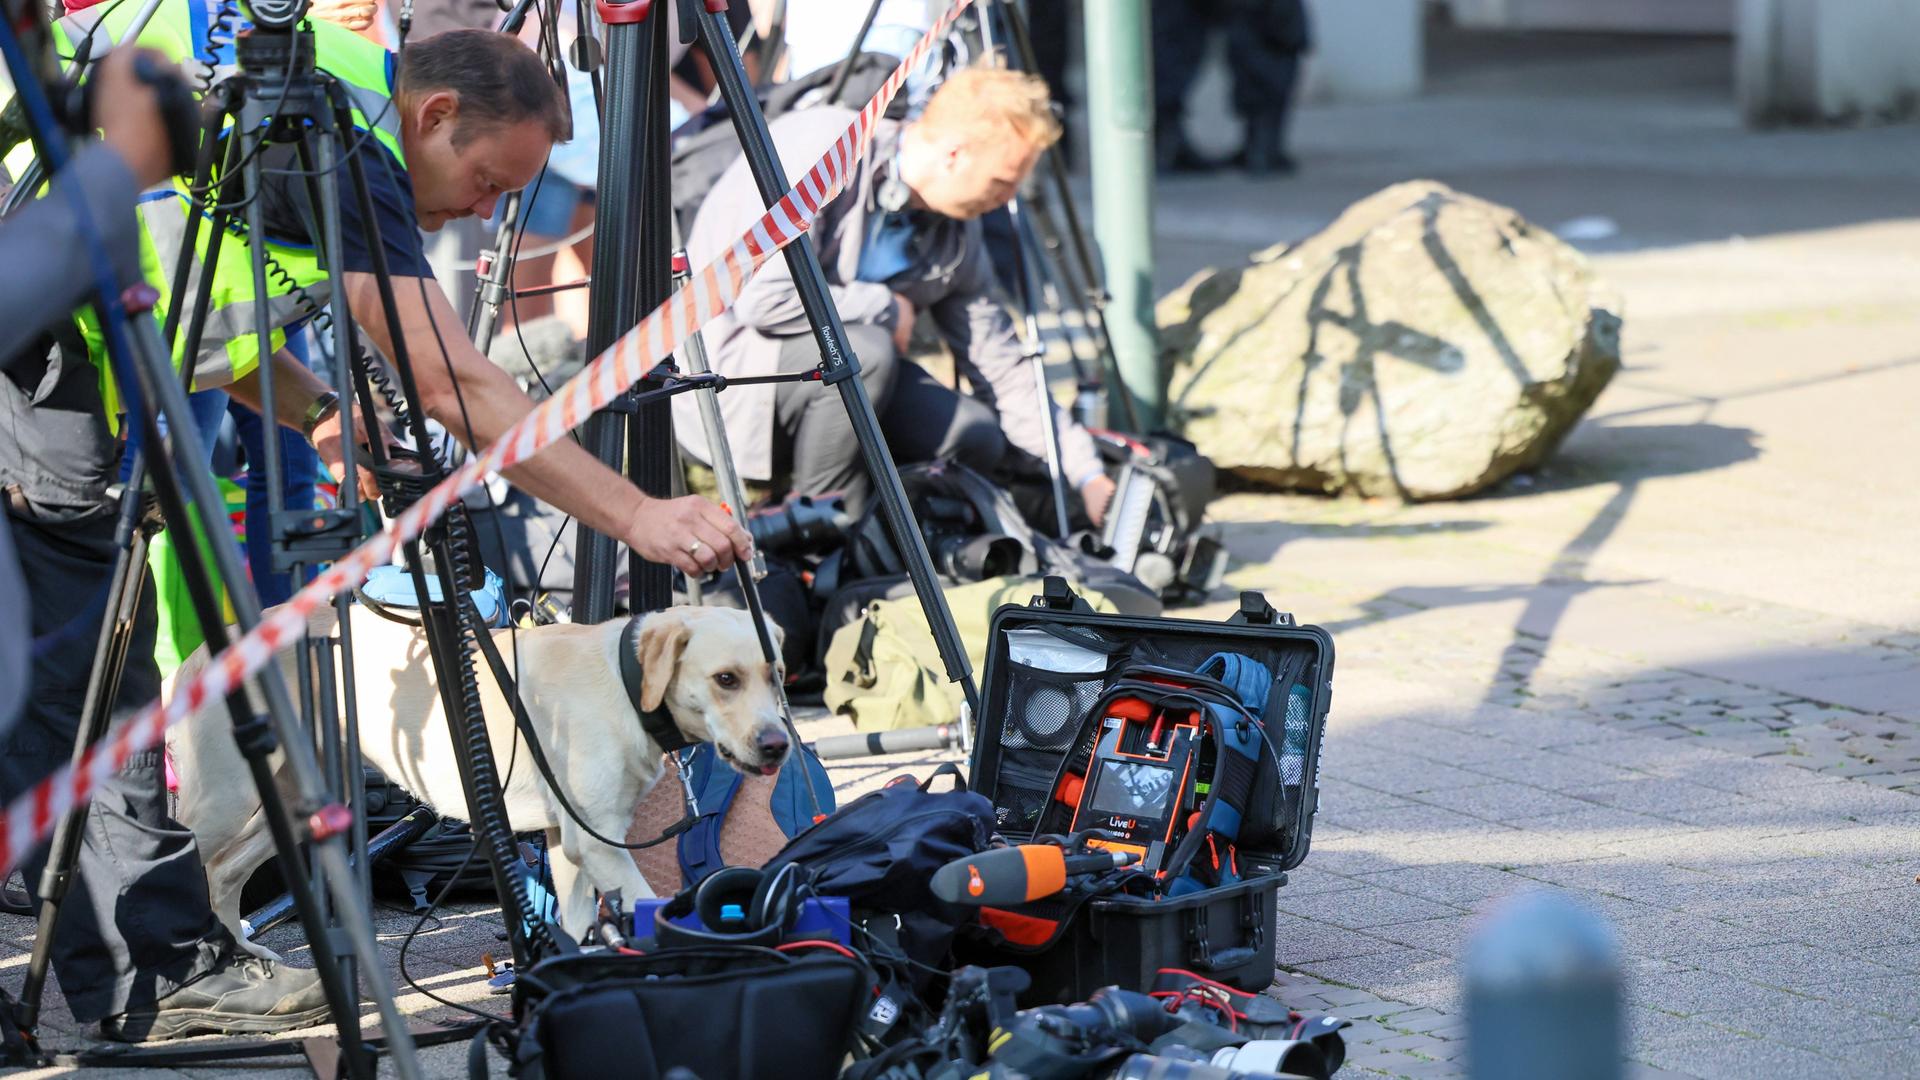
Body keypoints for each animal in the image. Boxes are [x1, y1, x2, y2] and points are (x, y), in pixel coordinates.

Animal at [168, 607, 787, 949]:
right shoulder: (599, 843)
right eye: (725, 679)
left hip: (298, 800)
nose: (779, 745)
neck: (627, 683)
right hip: (223, 798)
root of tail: (196, 656)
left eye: (775, 674)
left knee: (225, 874)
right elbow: (648, 906)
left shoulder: (569, 844)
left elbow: (578, 925)